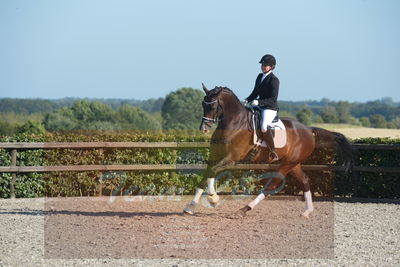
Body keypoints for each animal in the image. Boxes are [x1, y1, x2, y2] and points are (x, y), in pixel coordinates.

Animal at [182, 85, 354, 219]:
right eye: (203, 104)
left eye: (212, 106)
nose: (203, 129)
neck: (234, 123)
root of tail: (308, 130)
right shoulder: (214, 157)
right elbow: (207, 174)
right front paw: (190, 207)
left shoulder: (231, 159)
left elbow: (213, 171)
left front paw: (214, 199)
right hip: (293, 164)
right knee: (305, 180)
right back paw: (307, 212)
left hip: (287, 164)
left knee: (272, 185)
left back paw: (243, 210)